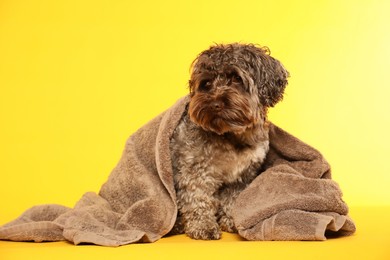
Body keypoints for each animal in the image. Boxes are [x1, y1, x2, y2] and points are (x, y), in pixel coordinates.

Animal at [169, 42, 288, 240]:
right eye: (206, 83)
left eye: (236, 78)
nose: (215, 104)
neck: (231, 136)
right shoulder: (193, 171)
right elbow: (198, 199)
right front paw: (204, 226)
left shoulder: (242, 175)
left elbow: (233, 199)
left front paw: (232, 221)